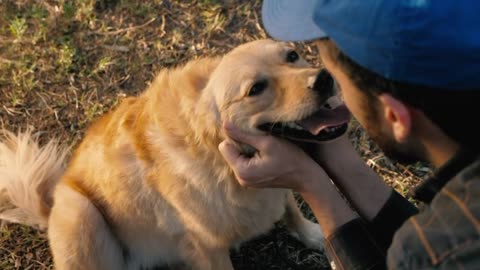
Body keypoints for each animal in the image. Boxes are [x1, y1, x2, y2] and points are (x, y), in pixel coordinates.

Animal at [0, 38, 348, 270]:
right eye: (256, 89)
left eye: (292, 55)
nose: (324, 79)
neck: (219, 157)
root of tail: (48, 209)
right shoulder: (208, 247)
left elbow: (290, 207)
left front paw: (316, 235)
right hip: (80, 211)